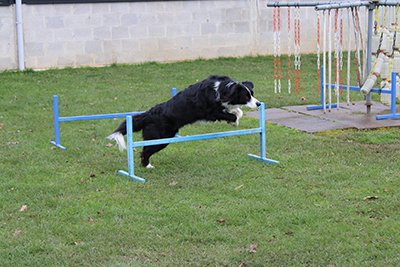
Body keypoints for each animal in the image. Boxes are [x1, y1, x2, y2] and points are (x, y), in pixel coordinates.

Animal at [108, 74, 260, 169]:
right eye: (246, 96)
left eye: (252, 94)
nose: (259, 104)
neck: (223, 88)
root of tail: (148, 115)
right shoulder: (210, 112)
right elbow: (231, 115)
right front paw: (234, 121)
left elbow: (237, 111)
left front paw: (235, 116)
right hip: (161, 137)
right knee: (145, 151)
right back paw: (148, 165)